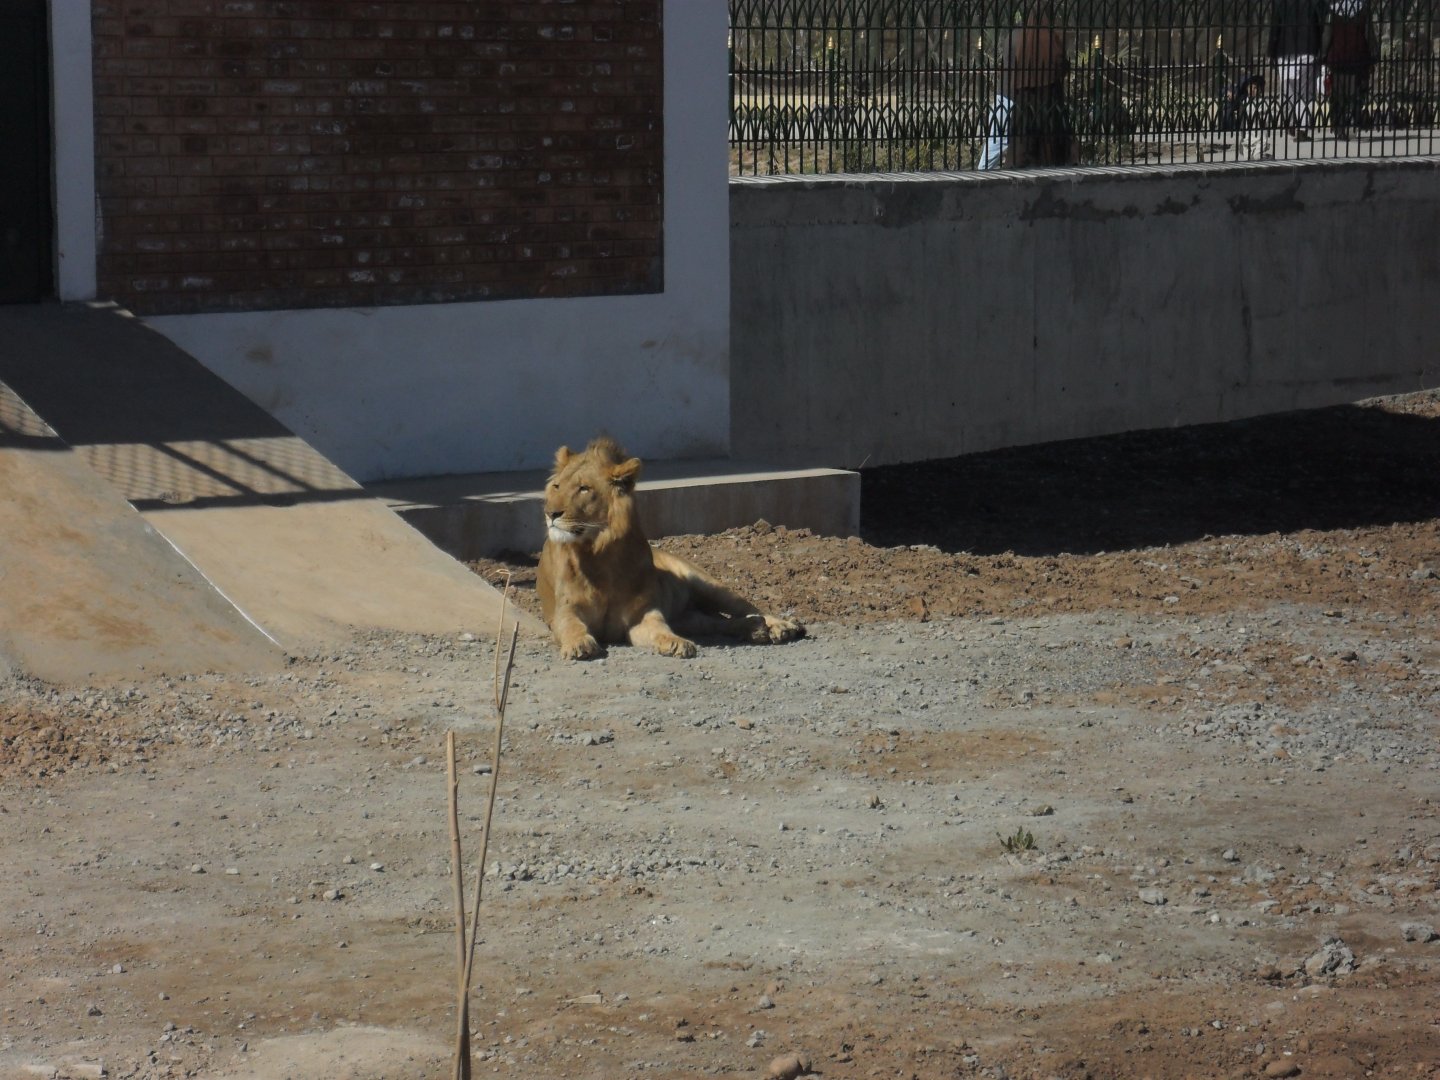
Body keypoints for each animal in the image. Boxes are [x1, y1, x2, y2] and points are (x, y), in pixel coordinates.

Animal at [536, 437, 806, 660]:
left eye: (584, 488)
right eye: (557, 486)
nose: (550, 513)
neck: (600, 555)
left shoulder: (642, 614)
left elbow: (660, 628)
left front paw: (675, 642)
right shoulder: (564, 611)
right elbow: (572, 626)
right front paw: (579, 644)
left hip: (706, 584)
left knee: (746, 608)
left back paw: (778, 627)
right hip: (689, 619)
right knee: (715, 623)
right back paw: (753, 629)